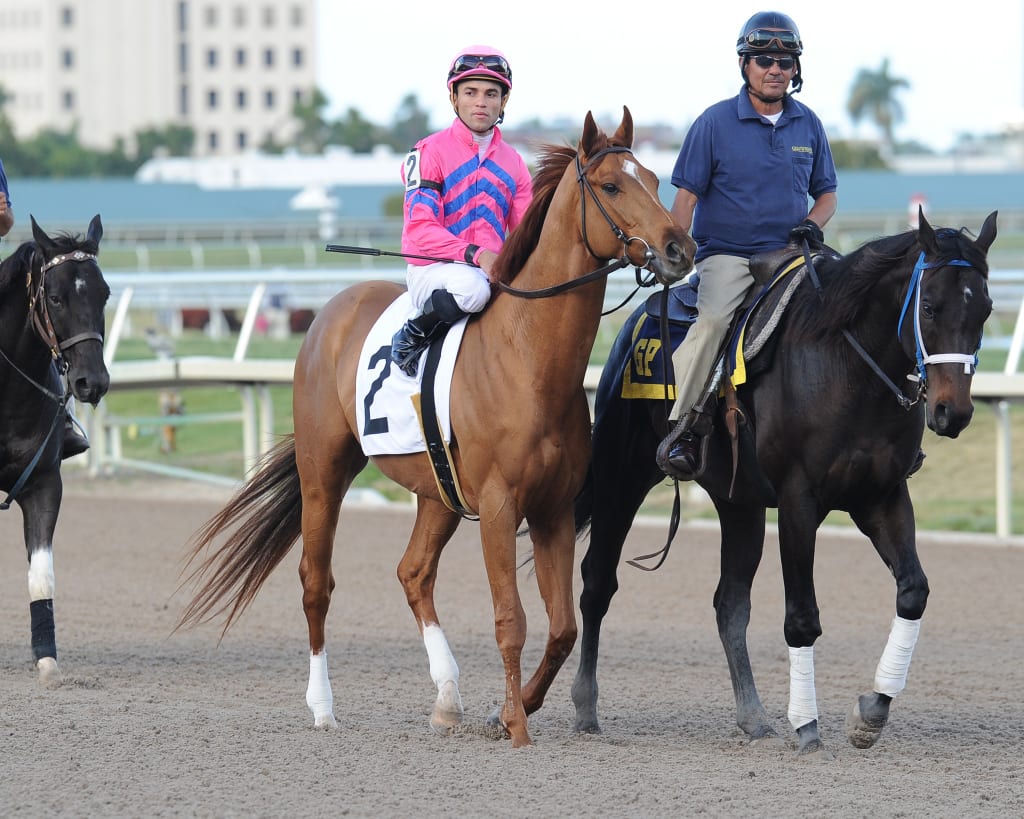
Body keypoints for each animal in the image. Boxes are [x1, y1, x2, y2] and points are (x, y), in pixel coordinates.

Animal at [180, 110, 696, 749]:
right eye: (611, 186)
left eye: (651, 177)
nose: (680, 248)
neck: (529, 361)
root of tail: (331, 311)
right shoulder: (500, 506)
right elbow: (511, 619)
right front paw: (517, 726)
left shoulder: (551, 509)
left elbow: (562, 627)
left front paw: (510, 710)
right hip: (324, 472)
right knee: (315, 581)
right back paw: (322, 707)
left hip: (438, 492)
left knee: (413, 572)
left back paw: (447, 698)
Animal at [573, 209, 995, 753]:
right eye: (928, 305)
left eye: (985, 309)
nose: (952, 411)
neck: (846, 364)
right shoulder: (799, 500)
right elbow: (802, 617)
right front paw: (807, 724)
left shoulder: (882, 496)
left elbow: (913, 592)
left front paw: (872, 711)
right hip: (620, 478)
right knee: (597, 584)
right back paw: (585, 705)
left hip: (740, 504)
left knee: (729, 604)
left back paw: (752, 716)